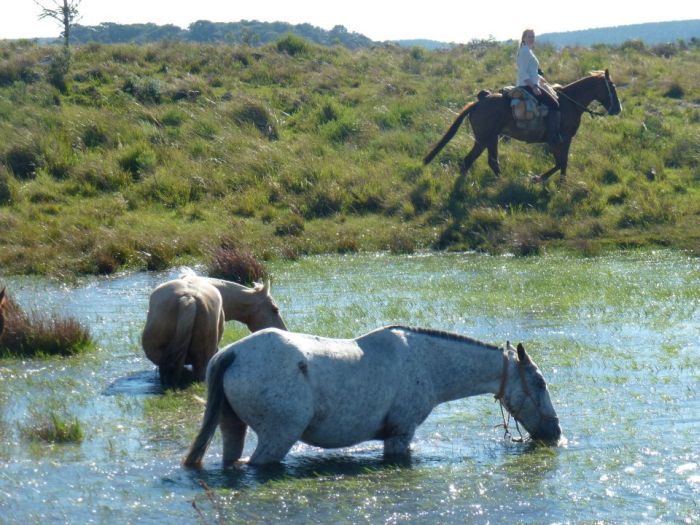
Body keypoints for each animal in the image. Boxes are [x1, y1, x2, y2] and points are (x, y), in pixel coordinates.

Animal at [183, 324, 560, 466]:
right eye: (540, 383)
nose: (555, 432)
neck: (425, 361)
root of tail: (232, 353)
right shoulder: (399, 435)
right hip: (278, 438)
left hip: (233, 429)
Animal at [424, 69, 620, 184]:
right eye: (612, 86)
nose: (618, 109)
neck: (569, 103)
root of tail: (478, 103)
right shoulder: (560, 140)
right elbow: (561, 163)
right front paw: (540, 179)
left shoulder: (561, 141)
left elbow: (562, 163)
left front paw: (557, 183)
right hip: (483, 139)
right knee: (469, 161)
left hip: (491, 139)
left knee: (491, 161)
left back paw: (500, 182)